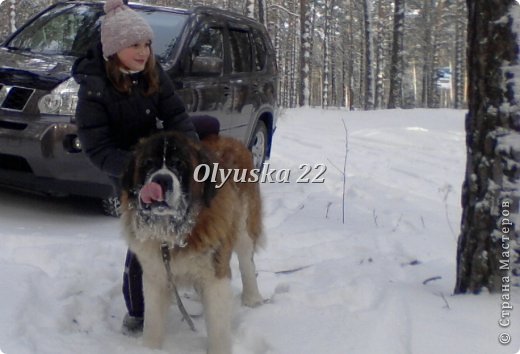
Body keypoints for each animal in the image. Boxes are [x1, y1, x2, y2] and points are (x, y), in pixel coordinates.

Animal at [119, 131, 262, 354]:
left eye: (179, 164)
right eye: (148, 163)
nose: (161, 180)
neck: (175, 233)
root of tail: (231, 140)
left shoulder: (215, 275)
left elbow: (218, 328)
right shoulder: (156, 275)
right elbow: (153, 323)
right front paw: (150, 348)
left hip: (243, 225)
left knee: (247, 262)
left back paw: (252, 298)